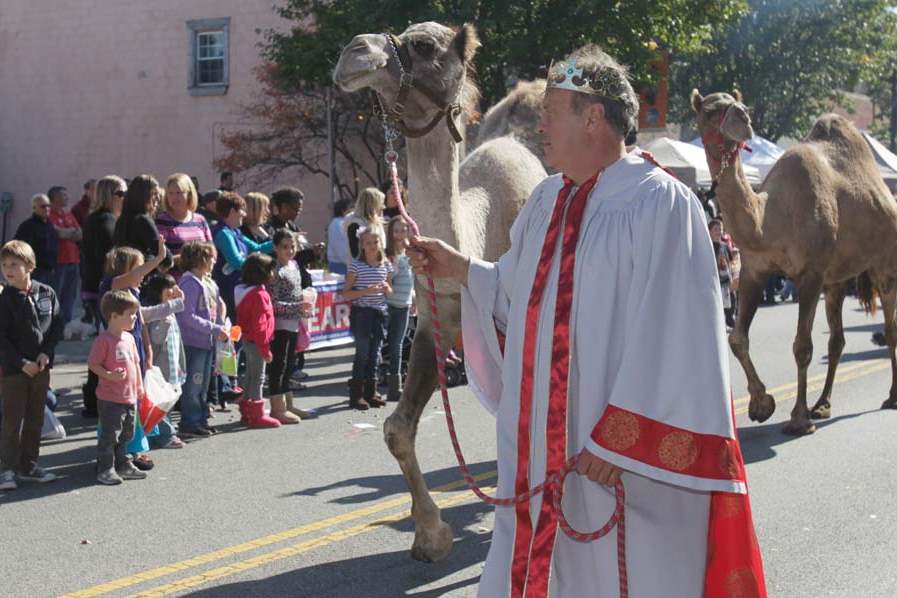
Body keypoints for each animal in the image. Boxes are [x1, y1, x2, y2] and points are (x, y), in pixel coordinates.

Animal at [692, 89, 897, 436]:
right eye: (708, 111)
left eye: (741, 105)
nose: (742, 117)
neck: (769, 219)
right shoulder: (753, 272)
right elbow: (737, 338)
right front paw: (761, 405)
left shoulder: (810, 274)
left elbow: (802, 346)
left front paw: (798, 419)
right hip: (837, 279)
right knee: (837, 340)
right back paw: (823, 404)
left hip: (885, 264)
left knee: (890, 327)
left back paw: (890, 398)